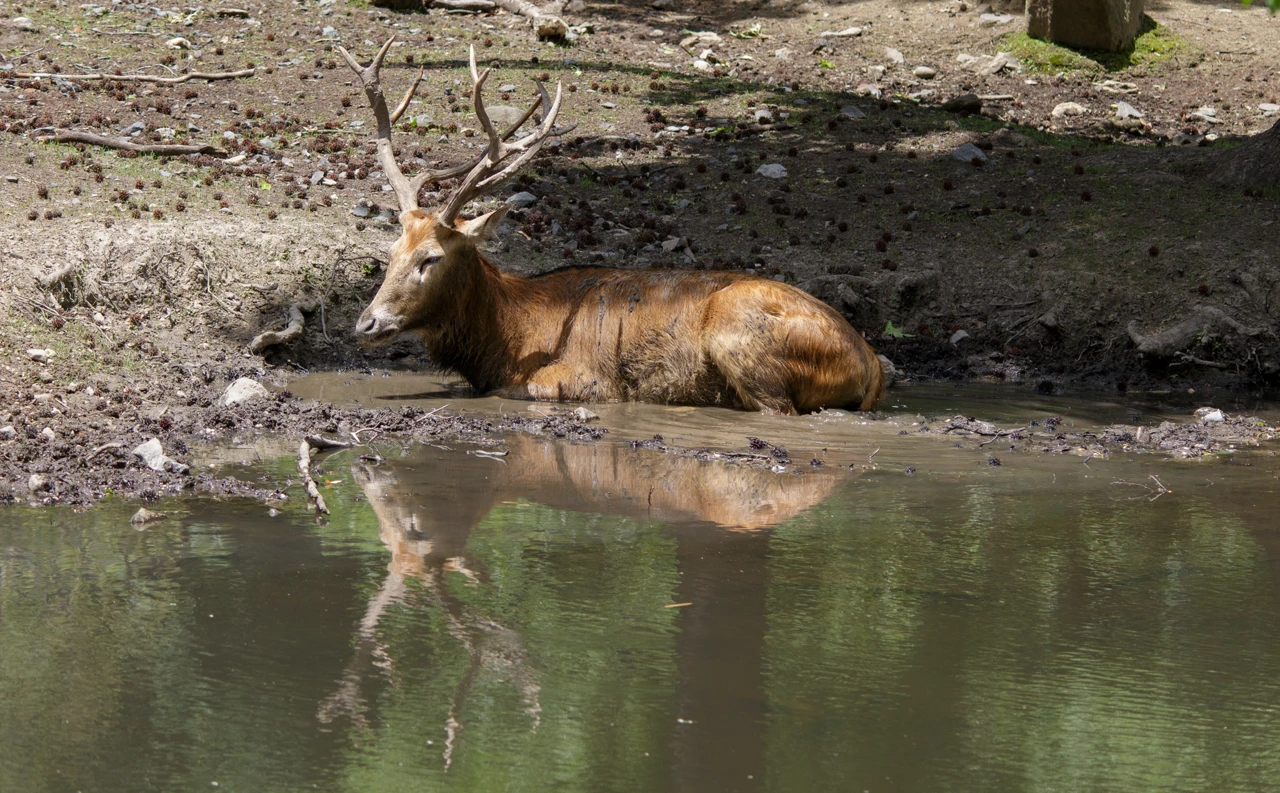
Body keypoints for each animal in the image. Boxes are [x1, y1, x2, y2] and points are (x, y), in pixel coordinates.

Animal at [340, 38, 888, 415]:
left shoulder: (584, 380)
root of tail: (871, 360)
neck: (510, 334)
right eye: (391, 252)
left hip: (743, 339)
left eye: (431, 258)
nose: (366, 322)